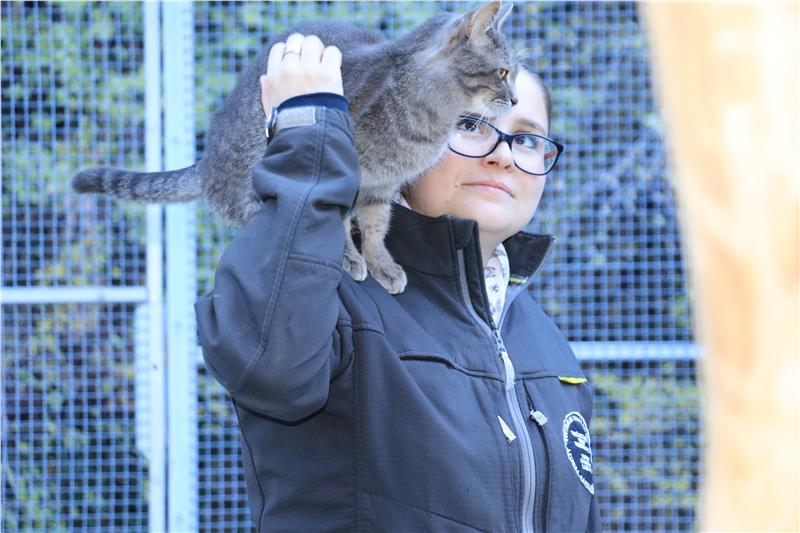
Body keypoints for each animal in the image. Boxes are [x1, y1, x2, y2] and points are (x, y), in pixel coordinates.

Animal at [71, 1, 519, 294]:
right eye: (502, 72)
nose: (514, 99)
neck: (430, 119)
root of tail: (209, 160)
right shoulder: (344, 175)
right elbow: (337, 224)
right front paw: (348, 258)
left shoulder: (381, 187)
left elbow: (376, 228)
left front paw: (381, 264)